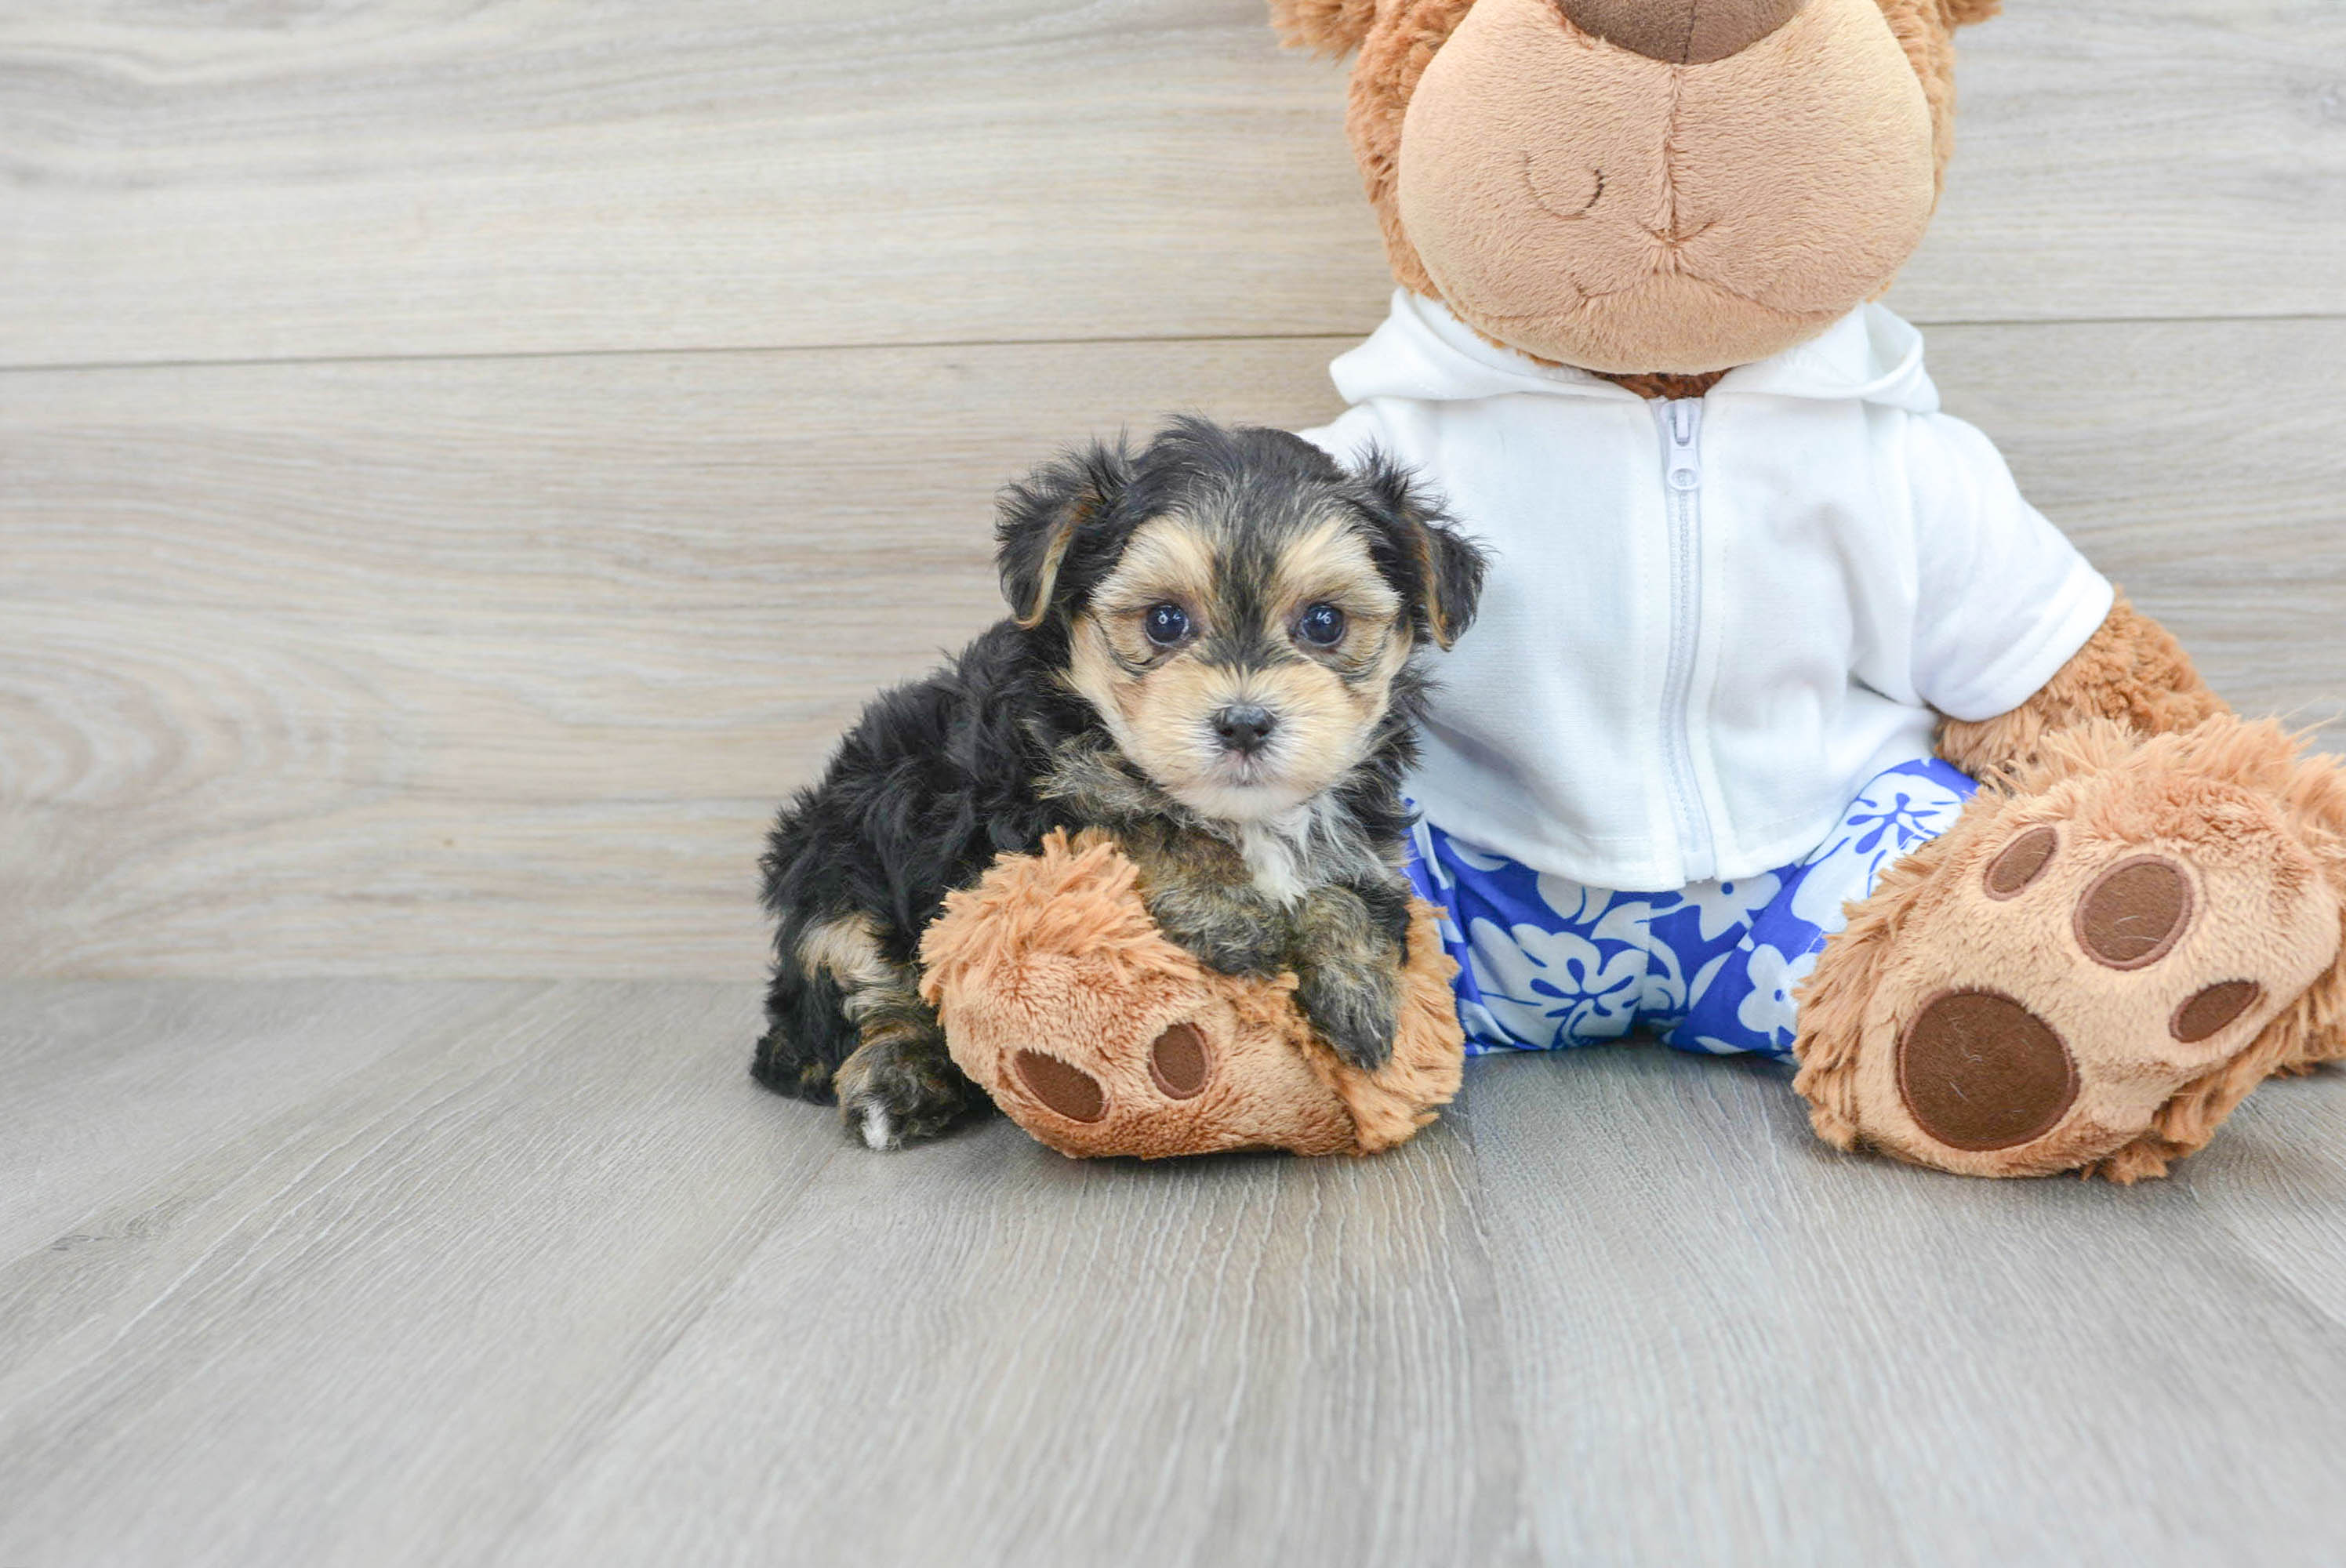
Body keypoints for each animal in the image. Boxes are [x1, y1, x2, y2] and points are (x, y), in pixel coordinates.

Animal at [750, 422, 1482, 1145]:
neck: (1247, 816)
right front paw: (1232, 914)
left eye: (1325, 622)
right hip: (841, 862)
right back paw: (896, 1082)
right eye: (1165, 621)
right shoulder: (1019, 811)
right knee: (869, 984)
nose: (1245, 724)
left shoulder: (1369, 845)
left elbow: (1352, 892)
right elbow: (1138, 820)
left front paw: (1360, 991)